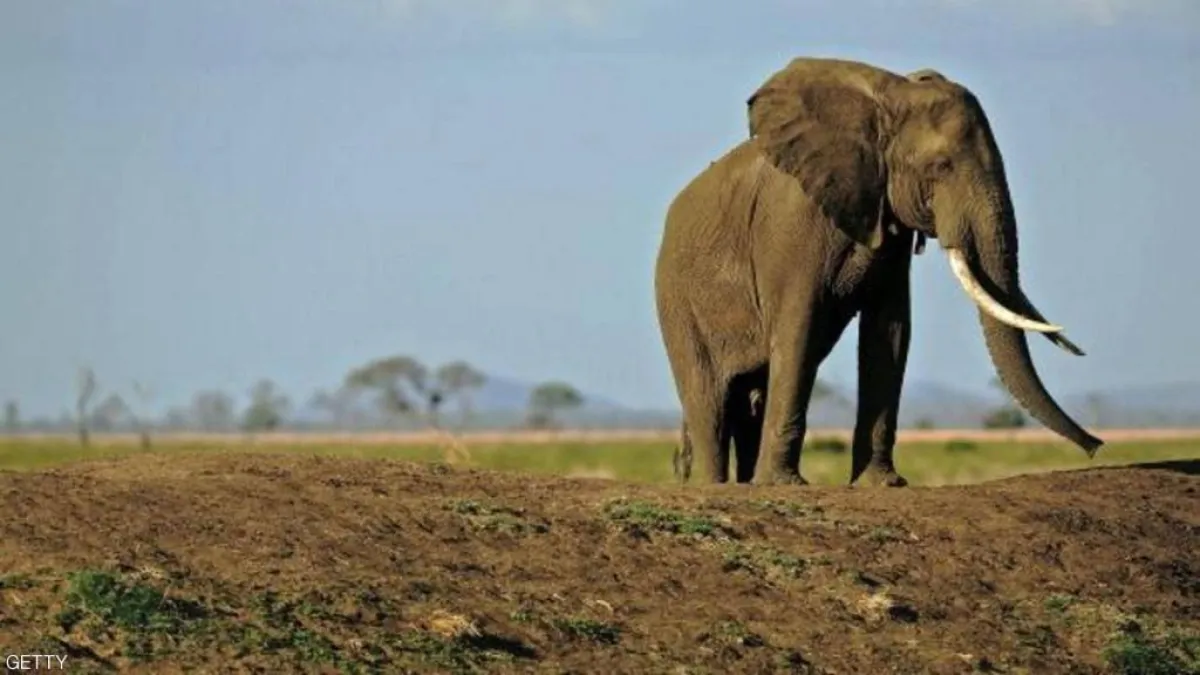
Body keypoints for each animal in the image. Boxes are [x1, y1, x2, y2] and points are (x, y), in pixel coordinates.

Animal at [653, 57, 1103, 487]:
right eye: (941, 166)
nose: (1096, 446)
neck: (888, 98)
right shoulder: (792, 223)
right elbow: (798, 327)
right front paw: (784, 485)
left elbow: (890, 330)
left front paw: (884, 484)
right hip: (676, 299)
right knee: (710, 397)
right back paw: (718, 484)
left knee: (750, 395)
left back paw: (745, 482)